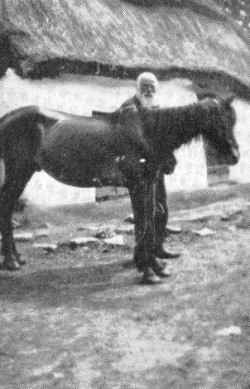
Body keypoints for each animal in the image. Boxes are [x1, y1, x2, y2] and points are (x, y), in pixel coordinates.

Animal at [0, 96, 239, 282]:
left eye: (233, 121)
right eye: (220, 120)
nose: (235, 156)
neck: (148, 132)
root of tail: (6, 118)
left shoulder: (148, 184)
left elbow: (148, 222)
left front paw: (156, 267)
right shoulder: (138, 185)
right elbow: (143, 224)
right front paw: (148, 272)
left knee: (8, 206)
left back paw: (16, 258)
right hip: (18, 172)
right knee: (6, 205)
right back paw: (11, 261)